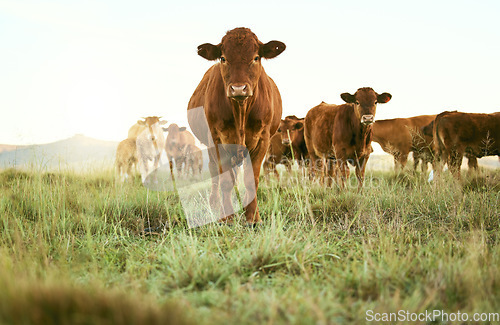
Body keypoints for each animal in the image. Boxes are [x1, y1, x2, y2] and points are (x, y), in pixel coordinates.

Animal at [187, 27, 286, 223]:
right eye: (223, 58)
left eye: (256, 57)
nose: (238, 88)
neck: (240, 110)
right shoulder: (216, 139)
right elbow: (225, 180)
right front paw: (227, 217)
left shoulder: (262, 140)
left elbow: (251, 180)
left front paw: (252, 217)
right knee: (216, 173)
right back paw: (215, 205)